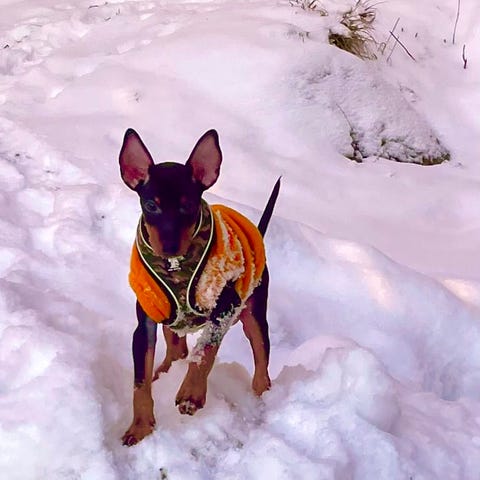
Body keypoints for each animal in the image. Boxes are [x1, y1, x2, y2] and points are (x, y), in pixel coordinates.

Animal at [119, 129, 280, 446]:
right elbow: (139, 383)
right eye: (151, 205)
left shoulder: (226, 307)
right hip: (170, 318)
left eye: (188, 206)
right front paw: (140, 427)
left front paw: (191, 394)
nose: (169, 246)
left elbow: (205, 350)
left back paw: (260, 399)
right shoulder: (145, 323)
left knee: (261, 365)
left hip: (253, 313)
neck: (177, 271)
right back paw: (164, 373)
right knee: (177, 350)